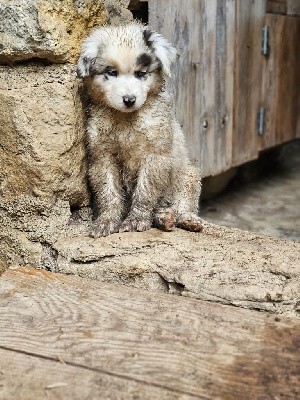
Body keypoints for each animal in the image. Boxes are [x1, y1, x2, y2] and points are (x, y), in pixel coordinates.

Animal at [77, 22, 204, 238]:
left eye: (141, 74)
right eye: (111, 72)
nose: (129, 100)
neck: (126, 119)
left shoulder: (155, 155)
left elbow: (145, 191)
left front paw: (136, 220)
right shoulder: (102, 156)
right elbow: (108, 193)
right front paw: (106, 221)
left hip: (189, 174)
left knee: (182, 204)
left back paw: (184, 219)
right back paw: (163, 218)